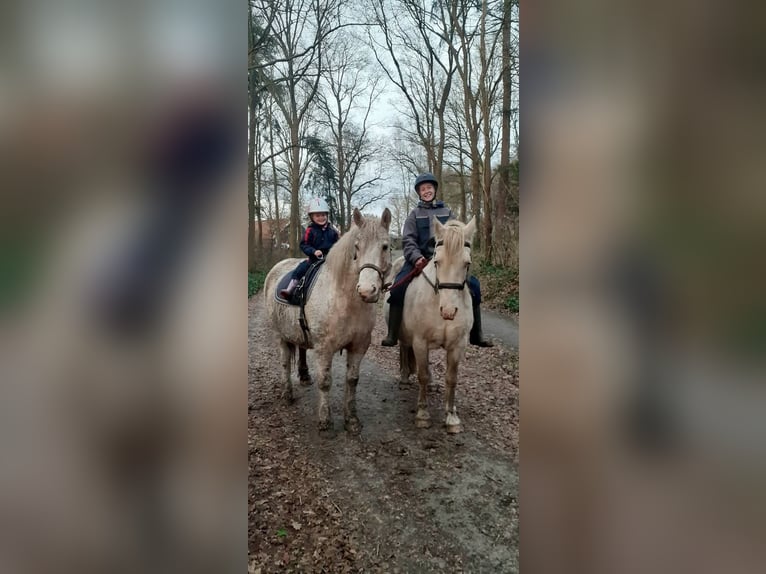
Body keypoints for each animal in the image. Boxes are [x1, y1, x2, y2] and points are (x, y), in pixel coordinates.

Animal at [264, 208, 392, 432]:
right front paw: (325, 420)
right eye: (356, 248)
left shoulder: (359, 346)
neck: (344, 299)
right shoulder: (324, 348)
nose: (367, 290)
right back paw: (287, 393)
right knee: (285, 362)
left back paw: (304, 376)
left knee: (302, 349)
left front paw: (351, 419)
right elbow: (325, 382)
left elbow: (352, 380)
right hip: (280, 336)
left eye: (385, 246)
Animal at [386, 217, 476, 433]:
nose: (449, 311)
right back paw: (404, 378)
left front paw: (451, 417)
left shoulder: (457, 346)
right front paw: (423, 414)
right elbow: (422, 376)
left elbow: (451, 379)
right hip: (407, 337)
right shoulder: (420, 342)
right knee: (405, 348)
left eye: (467, 263)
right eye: (436, 262)